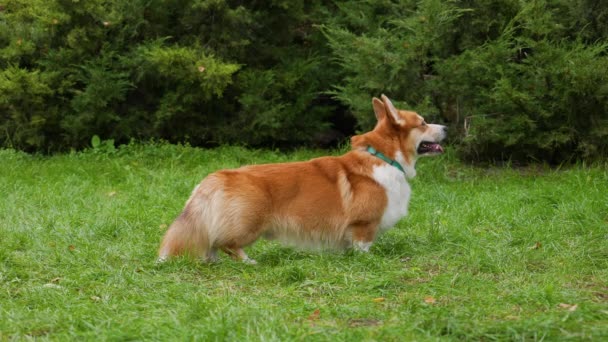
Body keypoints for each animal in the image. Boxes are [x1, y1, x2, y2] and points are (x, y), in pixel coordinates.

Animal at [157, 95, 446, 264]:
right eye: (423, 123)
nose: (446, 127)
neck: (386, 158)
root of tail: (218, 176)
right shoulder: (364, 225)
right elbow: (363, 246)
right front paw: (367, 261)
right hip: (248, 225)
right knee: (226, 243)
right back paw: (249, 262)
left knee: (212, 243)